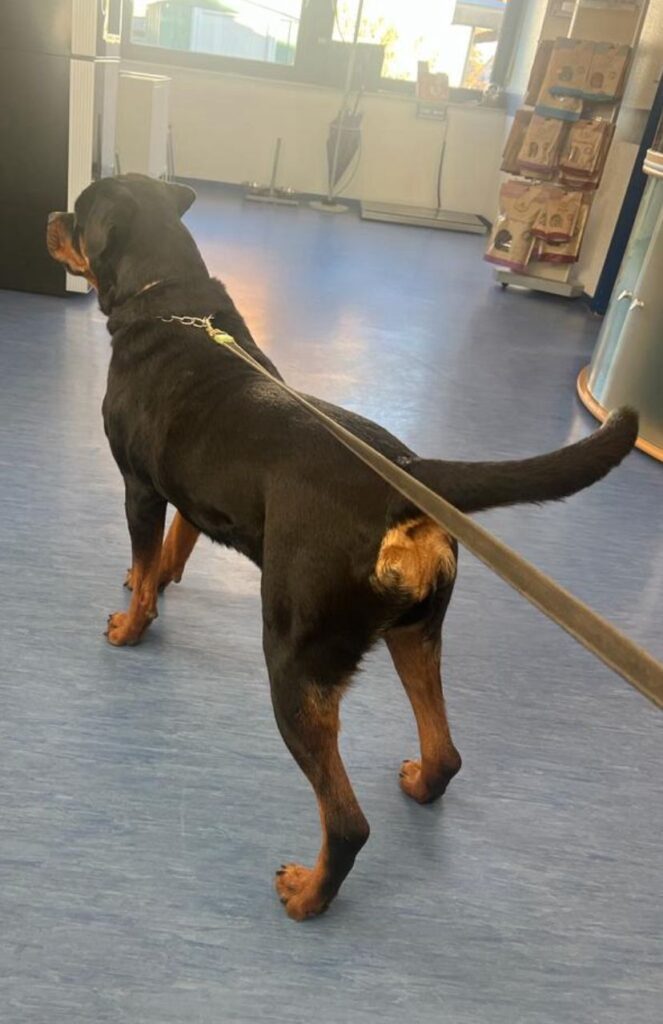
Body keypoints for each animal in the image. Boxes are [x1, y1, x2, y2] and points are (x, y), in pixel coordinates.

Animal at [47, 174, 637, 920]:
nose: (49, 215)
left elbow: (146, 556)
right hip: (415, 634)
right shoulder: (187, 490)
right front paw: (151, 584)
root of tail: (410, 478)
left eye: (78, 212)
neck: (169, 300)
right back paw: (421, 784)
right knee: (445, 752)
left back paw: (308, 894)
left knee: (348, 821)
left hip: (296, 660)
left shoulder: (139, 487)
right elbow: (172, 549)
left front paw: (131, 624)